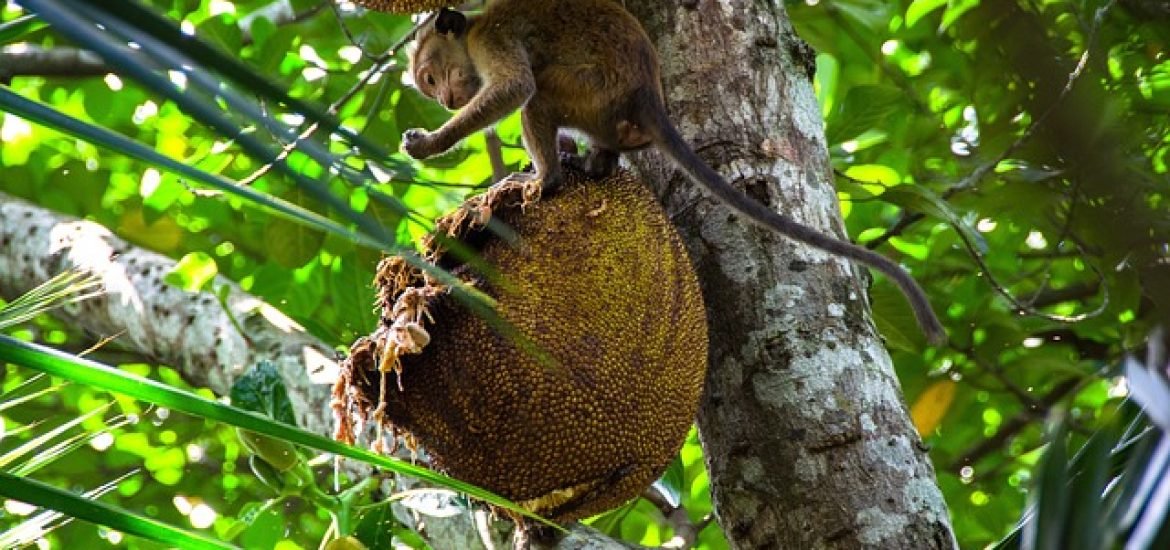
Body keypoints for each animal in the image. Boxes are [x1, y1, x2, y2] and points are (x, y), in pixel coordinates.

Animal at [402, 0, 950, 344]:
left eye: (430, 76)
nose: (445, 99)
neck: (472, 31)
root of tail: (648, 95)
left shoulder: (493, 40)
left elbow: (515, 88)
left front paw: (431, 142)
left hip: (591, 91)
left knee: (537, 98)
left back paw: (548, 179)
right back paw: (592, 161)